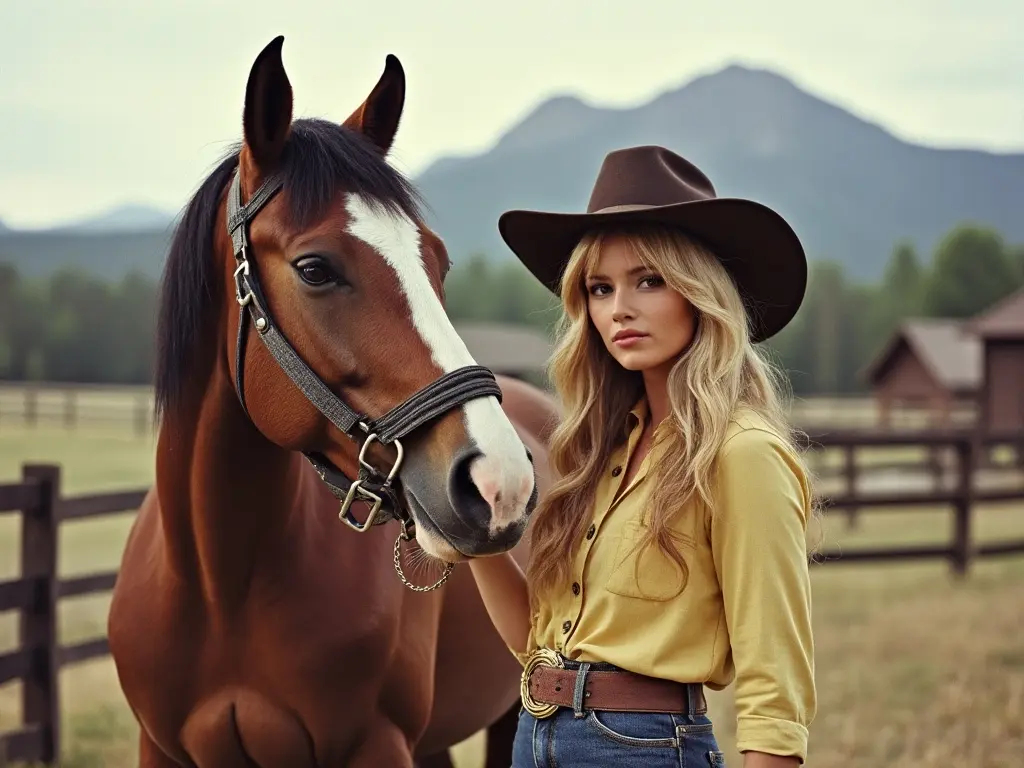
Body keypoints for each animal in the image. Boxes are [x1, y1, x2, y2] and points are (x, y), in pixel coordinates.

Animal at [107, 37, 557, 768]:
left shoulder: (378, 744)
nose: (502, 483)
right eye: (315, 269)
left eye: (438, 262)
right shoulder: (161, 749)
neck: (221, 583)